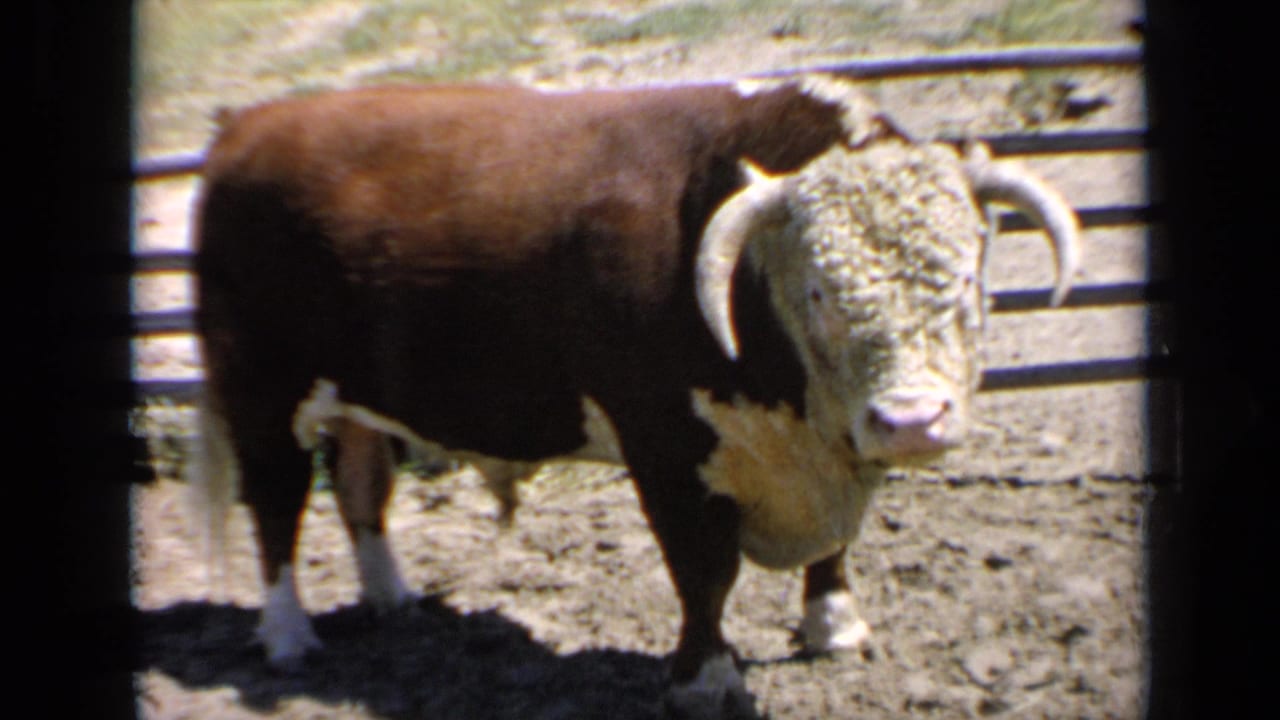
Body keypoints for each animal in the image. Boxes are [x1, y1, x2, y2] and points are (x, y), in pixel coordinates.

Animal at [189, 74, 1080, 718]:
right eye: (819, 294)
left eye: (967, 280)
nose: (910, 420)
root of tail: (248, 126)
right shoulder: (666, 449)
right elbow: (705, 572)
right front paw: (707, 680)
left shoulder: (831, 451)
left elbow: (834, 549)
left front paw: (835, 627)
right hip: (261, 390)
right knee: (276, 509)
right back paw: (288, 636)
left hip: (356, 397)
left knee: (361, 488)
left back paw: (392, 598)